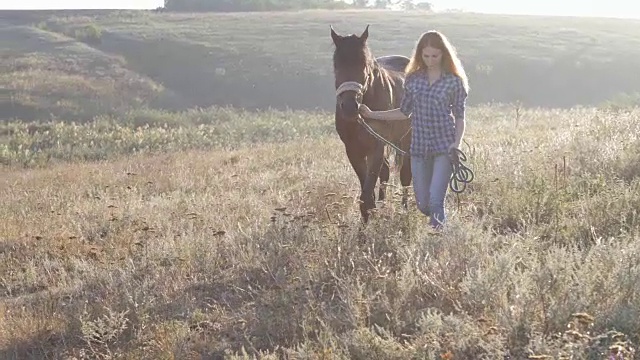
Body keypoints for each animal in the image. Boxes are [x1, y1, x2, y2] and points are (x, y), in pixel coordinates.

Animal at [332, 25, 412, 222]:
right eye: (336, 65)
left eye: (364, 64)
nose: (350, 107)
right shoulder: (353, 150)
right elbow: (366, 192)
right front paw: (369, 218)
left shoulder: (377, 146)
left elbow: (367, 192)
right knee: (386, 172)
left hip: (407, 140)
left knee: (405, 175)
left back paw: (405, 210)